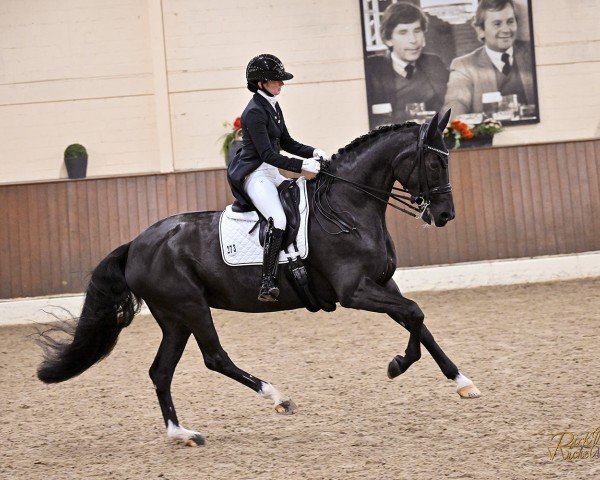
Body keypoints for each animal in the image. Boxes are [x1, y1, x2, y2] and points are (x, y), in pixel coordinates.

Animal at [37, 111, 480, 446]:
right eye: (436, 161)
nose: (445, 215)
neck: (348, 207)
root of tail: (136, 244)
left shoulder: (383, 284)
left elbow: (416, 319)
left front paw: (459, 380)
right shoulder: (355, 291)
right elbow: (415, 312)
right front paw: (399, 365)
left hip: (174, 318)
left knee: (161, 372)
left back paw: (182, 434)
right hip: (190, 306)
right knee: (215, 357)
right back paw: (277, 397)